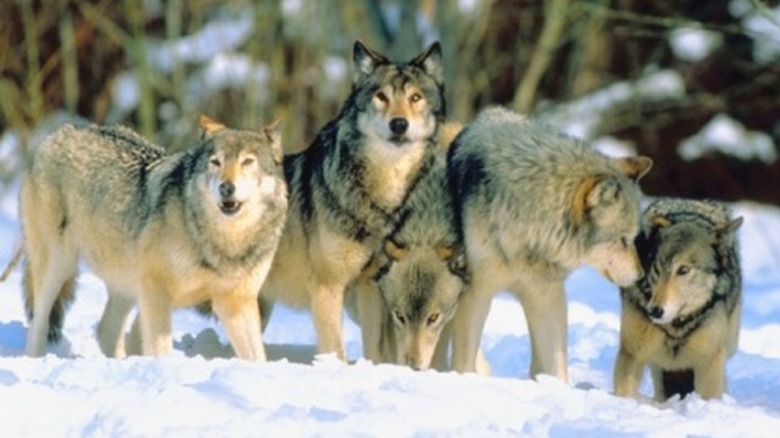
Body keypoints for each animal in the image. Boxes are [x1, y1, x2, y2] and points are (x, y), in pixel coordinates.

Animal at [20, 116, 287, 360]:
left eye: (247, 161)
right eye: (216, 162)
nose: (226, 188)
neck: (226, 243)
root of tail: (60, 131)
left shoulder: (236, 304)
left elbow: (257, 358)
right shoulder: (156, 293)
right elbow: (161, 351)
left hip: (126, 284)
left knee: (107, 331)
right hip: (59, 266)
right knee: (39, 324)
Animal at [259, 40, 446, 360]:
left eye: (415, 98)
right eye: (381, 96)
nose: (399, 124)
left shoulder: (370, 286)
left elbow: (374, 348)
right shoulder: (327, 287)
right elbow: (336, 350)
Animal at [446, 106, 653, 380]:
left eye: (633, 238)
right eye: (621, 239)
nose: (640, 276)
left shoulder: (547, 294)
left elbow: (557, 366)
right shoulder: (476, 292)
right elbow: (464, 359)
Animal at [614, 198, 743, 401]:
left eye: (683, 270)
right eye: (657, 269)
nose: (655, 311)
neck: (675, 327)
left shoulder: (709, 360)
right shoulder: (632, 352)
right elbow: (624, 393)